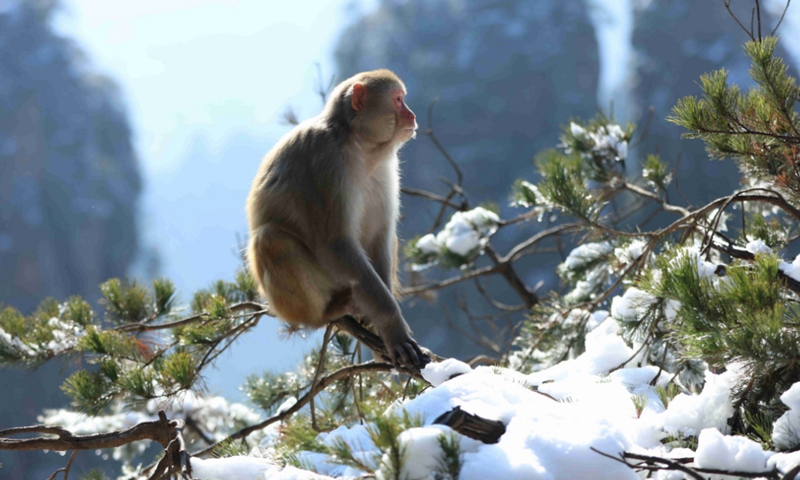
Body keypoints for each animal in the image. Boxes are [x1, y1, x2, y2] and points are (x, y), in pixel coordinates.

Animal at [246, 69, 424, 368]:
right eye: (398, 100)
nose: (411, 115)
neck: (360, 145)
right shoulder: (327, 159)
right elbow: (335, 243)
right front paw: (392, 325)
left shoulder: (386, 167)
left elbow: (380, 236)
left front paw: (380, 325)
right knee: (270, 238)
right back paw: (326, 312)